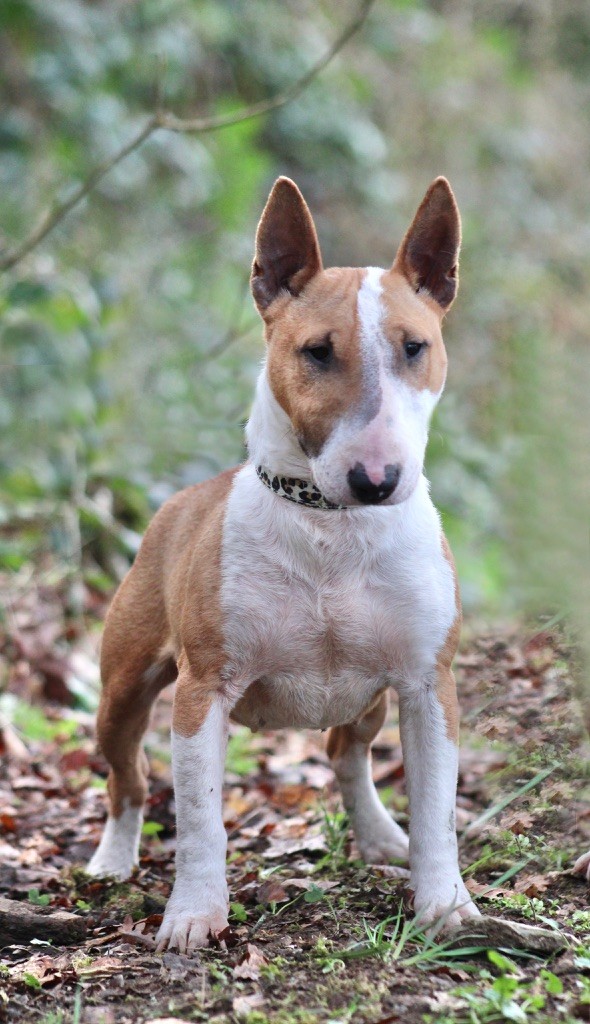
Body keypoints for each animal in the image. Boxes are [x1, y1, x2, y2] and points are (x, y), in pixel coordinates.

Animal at [88, 174, 483, 950]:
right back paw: (112, 861)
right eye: (317, 352)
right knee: (128, 779)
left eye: (415, 346)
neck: (329, 524)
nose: (377, 480)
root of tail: (179, 503)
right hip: (123, 686)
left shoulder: (428, 685)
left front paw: (446, 905)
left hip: (372, 696)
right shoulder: (203, 690)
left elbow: (437, 808)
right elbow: (202, 820)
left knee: (345, 752)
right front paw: (193, 916)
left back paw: (381, 836)